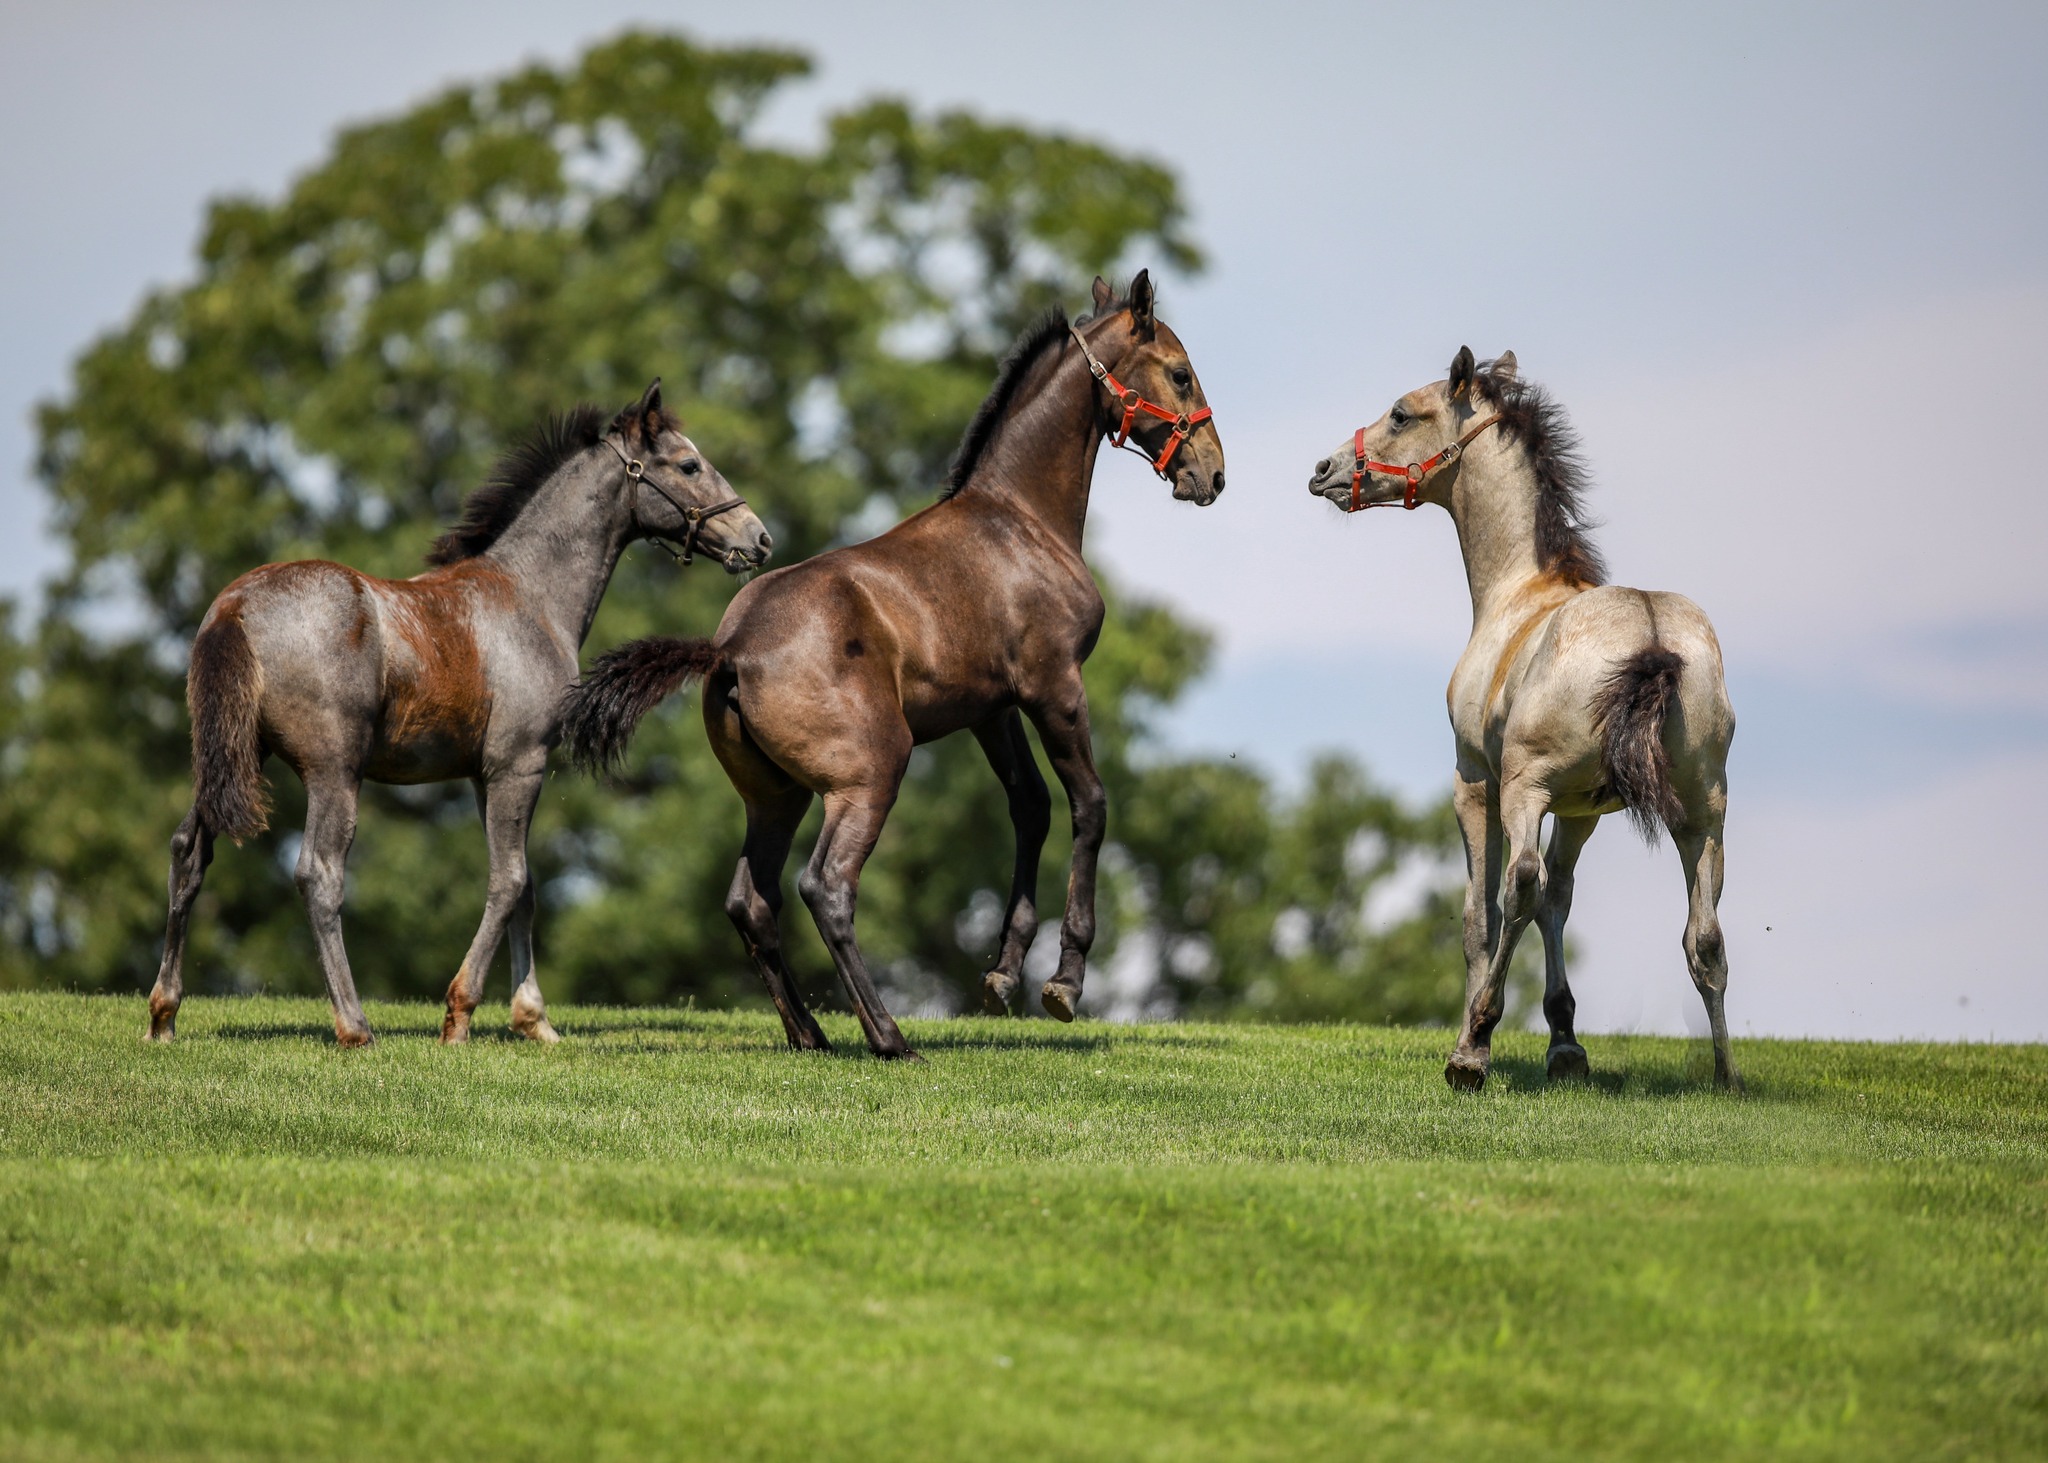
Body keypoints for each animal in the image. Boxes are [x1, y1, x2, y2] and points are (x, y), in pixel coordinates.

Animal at [569, 270, 1220, 1049]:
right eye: (1179, 373)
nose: (1213, 474)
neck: (1019, 521)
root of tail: (729, 649)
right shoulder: (1054, 685)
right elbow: (1088, 804)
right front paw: (1063, 982)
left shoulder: (991, 710)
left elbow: (1028, 807)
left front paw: (1002, 975)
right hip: (871, 773)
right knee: (825, 887)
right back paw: (888, 1037)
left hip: (776, 796)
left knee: (750, 899)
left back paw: (811, 1035)